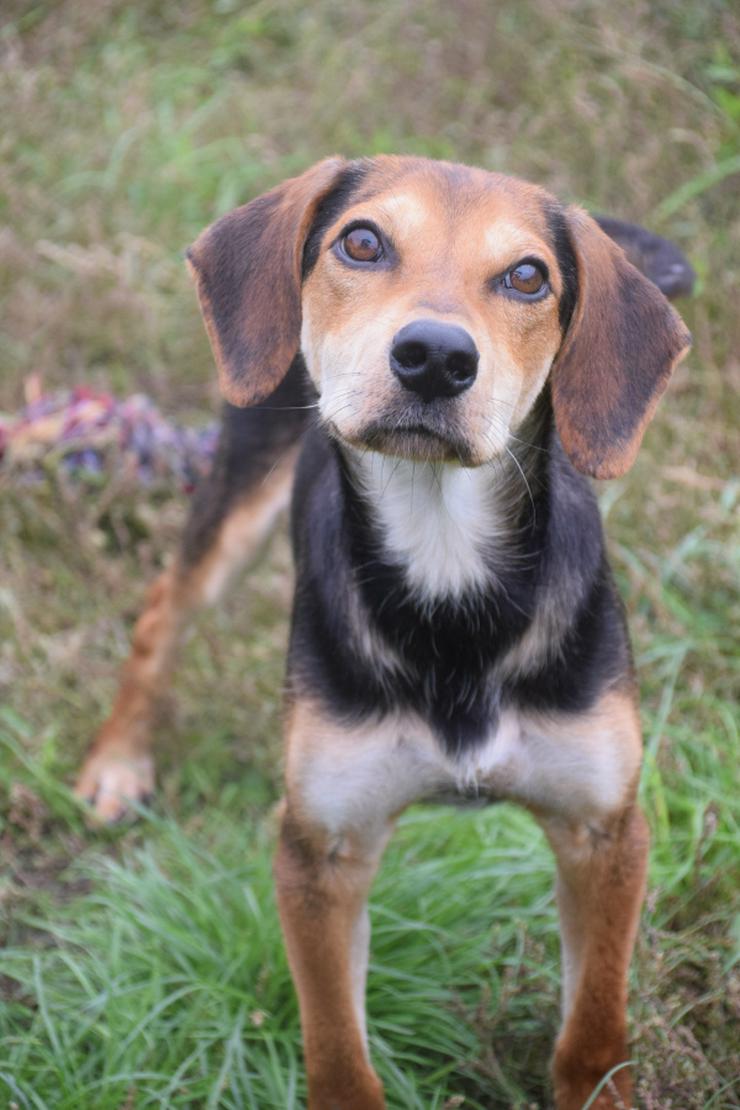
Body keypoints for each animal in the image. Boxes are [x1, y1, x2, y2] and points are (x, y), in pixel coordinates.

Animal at [75, 156, 696, 1110]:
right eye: (362, 242)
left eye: (528, 277)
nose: (436, 357)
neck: (448, 574)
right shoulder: (320, 853)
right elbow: (338, 1052)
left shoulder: (606, 833)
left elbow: (593, 1030)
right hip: (239, 492)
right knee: (160, 614)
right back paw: (118, 762)